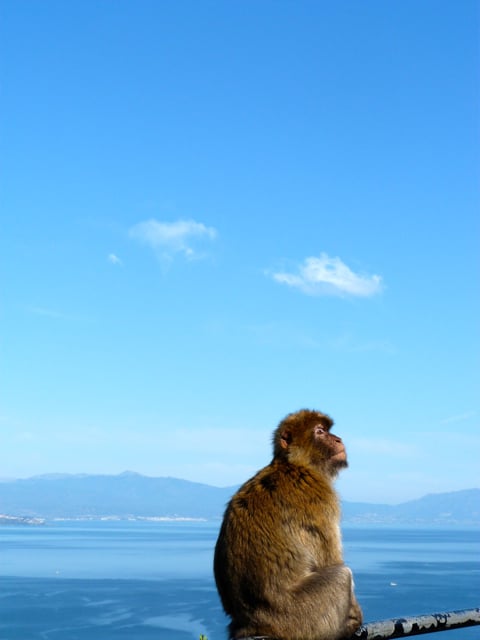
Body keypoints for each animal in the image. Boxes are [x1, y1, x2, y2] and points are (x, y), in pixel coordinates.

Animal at [214, 409, 362, 640]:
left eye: (327, 430)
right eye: (320, 431)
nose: (338, 439)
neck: (295, 464)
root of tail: (252, 623)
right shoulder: (318, 494)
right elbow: (330, 560)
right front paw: (356, 616)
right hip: (303, 619)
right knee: (342, 575)